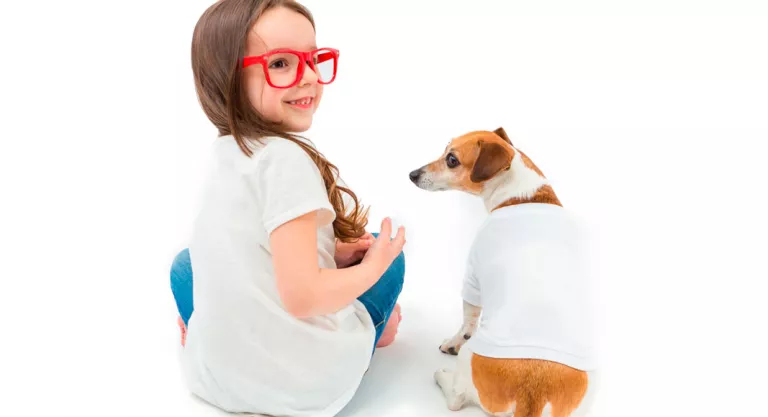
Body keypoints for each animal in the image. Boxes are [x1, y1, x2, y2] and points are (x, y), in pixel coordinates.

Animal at [408, 127, 600, 416]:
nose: (412, 174)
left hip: (468, 358)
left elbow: (467, 321)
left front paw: (452, 342)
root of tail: (532, 394)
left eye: (452, 160)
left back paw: (443, 376)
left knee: (456, 398)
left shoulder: (472, 279)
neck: (520, 196)